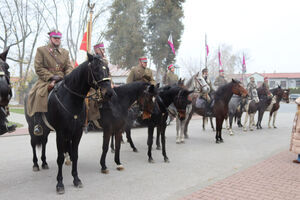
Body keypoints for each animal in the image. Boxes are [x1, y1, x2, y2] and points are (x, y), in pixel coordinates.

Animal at [24, 53, 113, 194]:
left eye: (108, 69)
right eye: (95, 69)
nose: (109, 93)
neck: (71, 99)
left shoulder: (77, 132)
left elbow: (75, 155)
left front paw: (76, 179)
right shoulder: (60, 133)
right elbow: (60, 158)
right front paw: (60, 184)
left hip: (47, 129)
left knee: (44, 143)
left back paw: (44, 163)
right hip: (32, 128)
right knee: (33, 144)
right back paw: (36, 164)